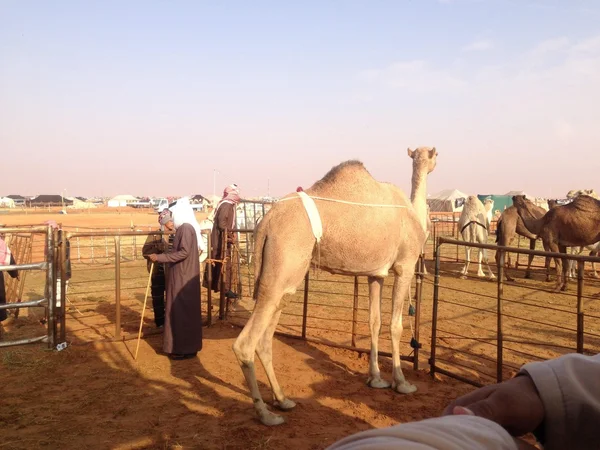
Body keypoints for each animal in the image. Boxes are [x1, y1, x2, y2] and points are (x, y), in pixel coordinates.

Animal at [232, 148, 438, 426]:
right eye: (435, 156)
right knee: (245, 343)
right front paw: (402, 383)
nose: (433, 164)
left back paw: (283, 400)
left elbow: (374, 322)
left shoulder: (376, 274)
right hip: (283, 266)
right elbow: (395, 326)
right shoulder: (404, 266)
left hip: (283, 278)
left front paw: (376, 379)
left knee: (265, 338)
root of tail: (266, 221)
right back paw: (266, 415)